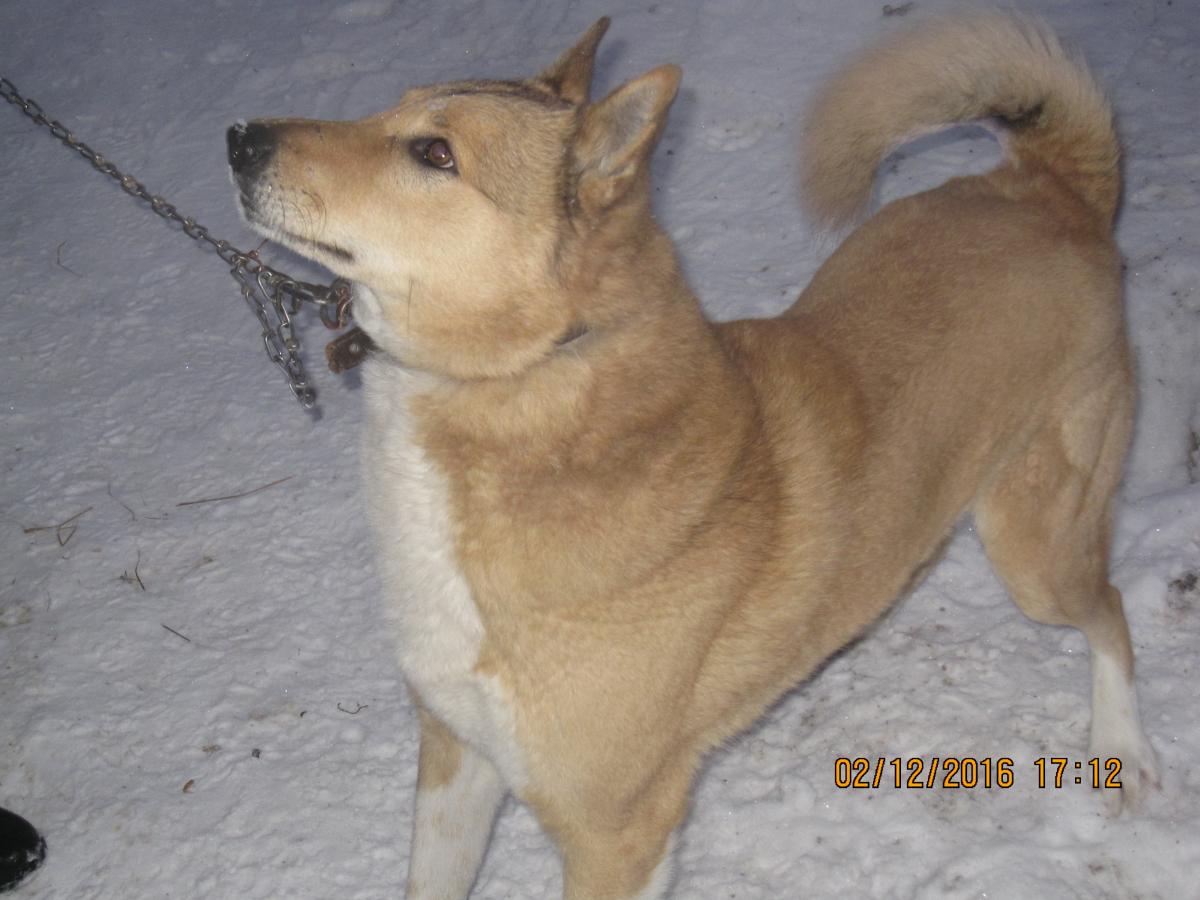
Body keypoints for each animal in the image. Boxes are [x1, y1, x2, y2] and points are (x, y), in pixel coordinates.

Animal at [228, 13, 1159, 898]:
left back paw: (1124, 752)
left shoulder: (617, 835)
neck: (531, 376)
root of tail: (1051, 187)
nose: (239, 137)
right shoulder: (456, 757)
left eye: (434, 153)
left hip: (1036, 550)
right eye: (389, 108)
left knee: (1111, 610)